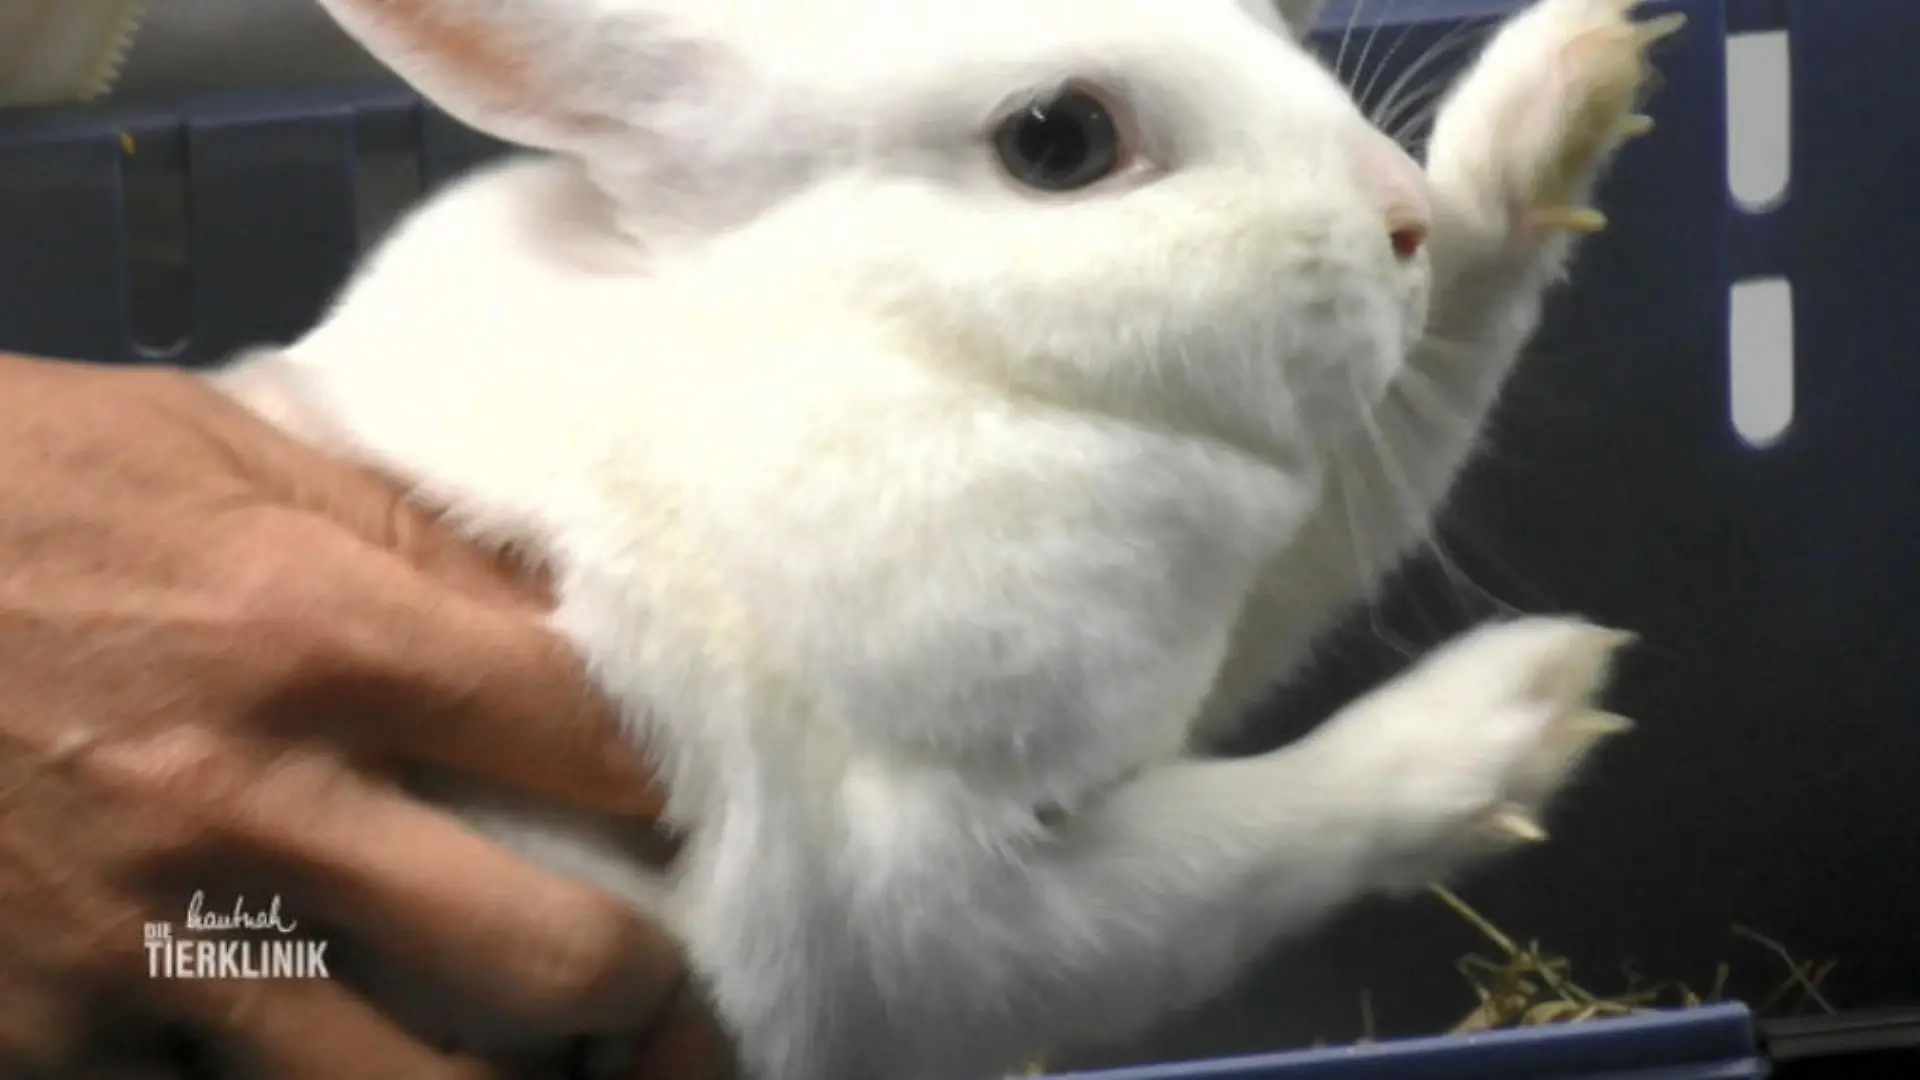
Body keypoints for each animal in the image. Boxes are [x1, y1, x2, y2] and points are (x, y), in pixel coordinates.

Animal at [209, 0, 1682, 1077]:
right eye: (1058, 139)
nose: (1398, 216)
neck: (916, 350)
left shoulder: (1197, 644)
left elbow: (1384, 465)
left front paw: (1564, 92)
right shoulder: (922, 918)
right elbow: (1252, 843)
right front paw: (1528, 710)